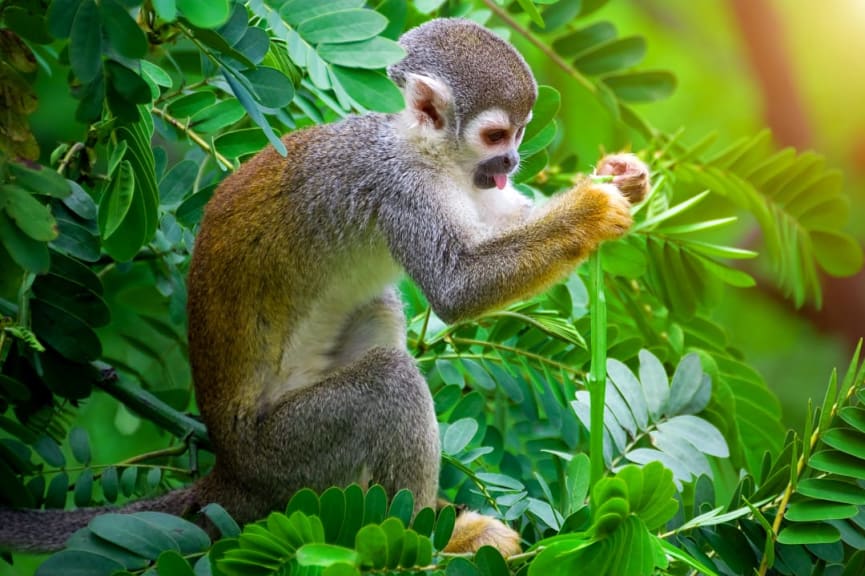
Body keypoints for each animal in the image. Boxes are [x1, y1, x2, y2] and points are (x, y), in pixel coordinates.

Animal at [0, 19, 648, 560]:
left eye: (519, 134)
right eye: (495, 136)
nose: (510, 163)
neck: (412, 144)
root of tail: (231, 468)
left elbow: (493, 225)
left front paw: (625, 179)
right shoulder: (399, 185)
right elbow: (457, 288)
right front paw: (592, 211)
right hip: (291, 454)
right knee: (388, 384)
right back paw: (425, 534)